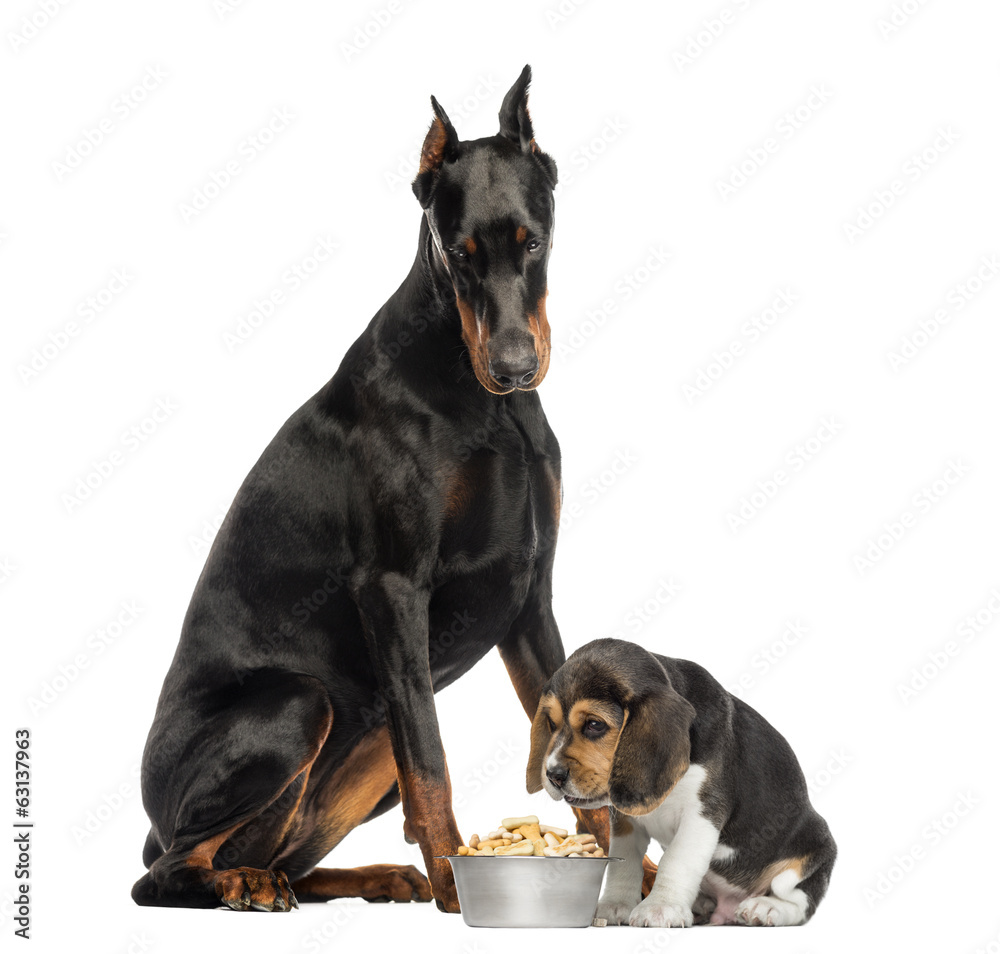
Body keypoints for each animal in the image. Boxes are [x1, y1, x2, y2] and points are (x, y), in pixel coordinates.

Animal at [524, 636, 836, 924]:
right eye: (551, 723)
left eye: (594, 725)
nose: (553, 775)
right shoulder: (625, 820)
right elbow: (623, 863)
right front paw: (615, 905)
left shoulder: (702, 815)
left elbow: (675, 861)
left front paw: (661, 908)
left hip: (813, 848)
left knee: (799, 901)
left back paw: (765, 908)